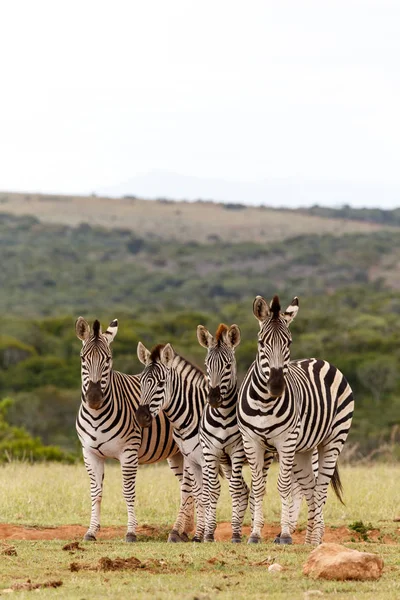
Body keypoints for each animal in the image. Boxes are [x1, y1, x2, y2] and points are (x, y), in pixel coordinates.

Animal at [76, 318, 195, 544]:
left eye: (108, 359)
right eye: (83, 358)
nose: (94, 398)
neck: (96, 416)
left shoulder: (129, 452)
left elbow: (128, 492)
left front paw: (131, 532)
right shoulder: (90, 453)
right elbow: (96, 493)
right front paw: (91, 531)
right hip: (177, 455)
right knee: (190, 487)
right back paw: (187, 531)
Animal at [196, 324, 252, 544]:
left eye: (228, 365)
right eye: (207, 364)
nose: (213, 399)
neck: (222, 416)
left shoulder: (237, 450)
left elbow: (234, 489)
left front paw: (235, 535)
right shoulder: (211, 451)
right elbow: (213, 489)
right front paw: (208, 534)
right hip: (225, 461)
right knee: (246, 490)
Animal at [238, 296, 354, 544]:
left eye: (289, 343)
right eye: (261, 342)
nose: (276, 386)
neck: (265, 402)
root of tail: (320, 360)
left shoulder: (286, 442)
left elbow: (283, 486)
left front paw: (284, 534)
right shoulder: (251, 441)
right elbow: (258, 487)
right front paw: (254, 534)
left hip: (332, 440)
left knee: (320, 489)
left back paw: (316, 539)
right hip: (303, 450)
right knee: (309, 487)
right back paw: (309, 538)